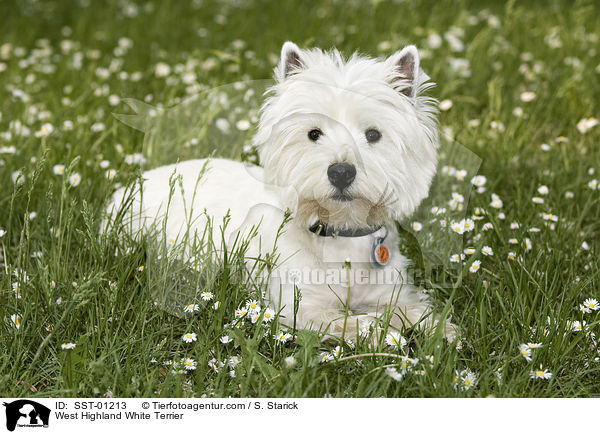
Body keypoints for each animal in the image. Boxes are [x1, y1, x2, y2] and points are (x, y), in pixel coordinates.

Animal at [106, 42, 454, 342]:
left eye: (373, 134)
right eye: (313, 133)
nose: (341, 172)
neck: (339, 235)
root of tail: (127, 187)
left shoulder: (389, 290)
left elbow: (411, 310)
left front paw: (440, 330)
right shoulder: (299, 307)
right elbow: (352, 321)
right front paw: (385, 332)